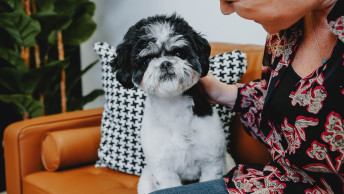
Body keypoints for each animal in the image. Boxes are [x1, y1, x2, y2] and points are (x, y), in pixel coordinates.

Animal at [110, 14, 234, 194]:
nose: (165, 63)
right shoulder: (163, 168)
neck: (174, 107)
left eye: (177, 52)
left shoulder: (212, 162)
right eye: (147, 59)